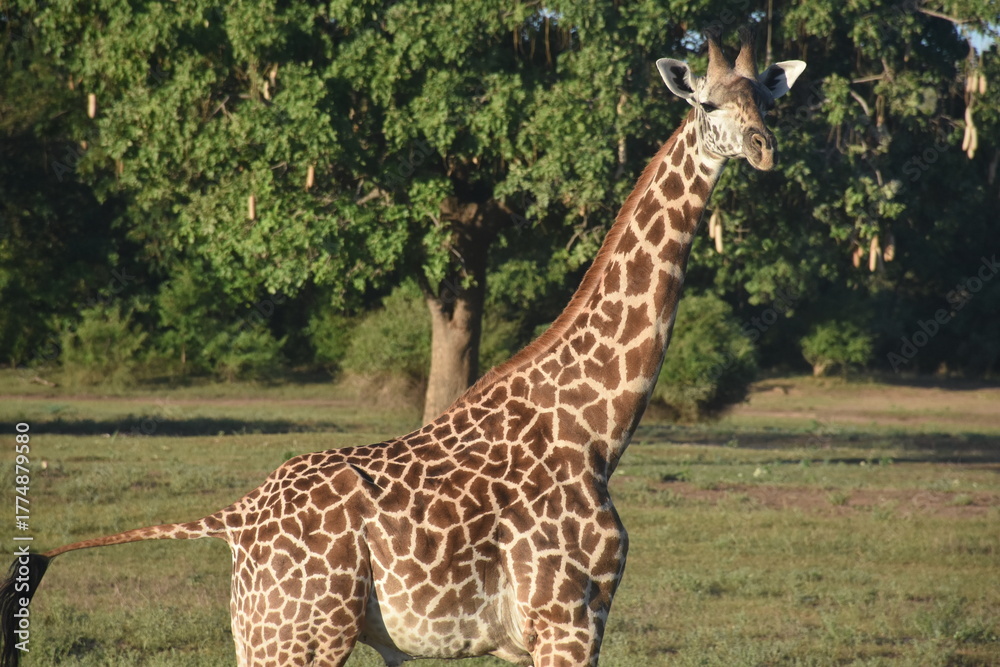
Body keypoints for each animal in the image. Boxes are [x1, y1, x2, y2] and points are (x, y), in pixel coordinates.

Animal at [0, 29, 805, 667]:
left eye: (768, 105)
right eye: (707, 106)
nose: (764, 149)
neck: (596, 429)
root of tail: (234, 518)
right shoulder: (568, 620)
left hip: (261, 633)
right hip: (299, 635)